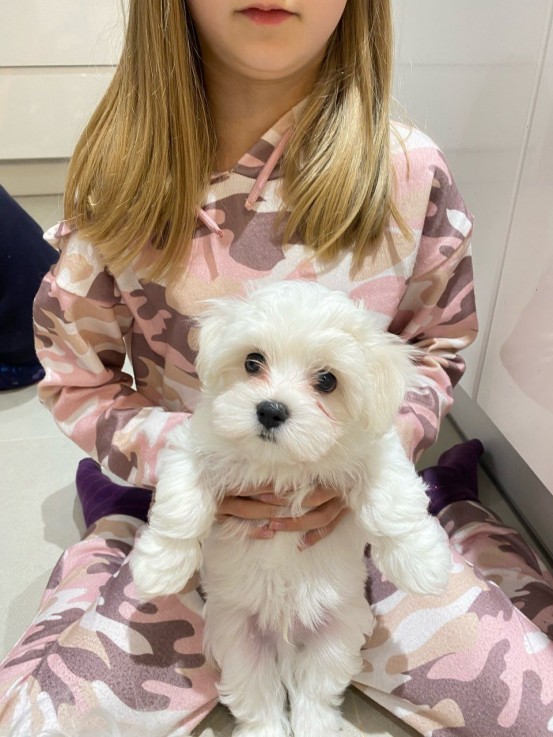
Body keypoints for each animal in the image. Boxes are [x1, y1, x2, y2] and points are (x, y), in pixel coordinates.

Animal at [132, 280, 450, 736]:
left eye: (327, 380)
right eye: (252, 361)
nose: (270, 409)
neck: (281, 463)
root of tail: (283, 639)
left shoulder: (372, 452)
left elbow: (392, 499)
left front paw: (423, 564)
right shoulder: (195, 448)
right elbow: (182, 503)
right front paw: (159, 568)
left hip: (335, 633)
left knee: (316, 689)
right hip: (238, 637)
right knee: (256, 694)